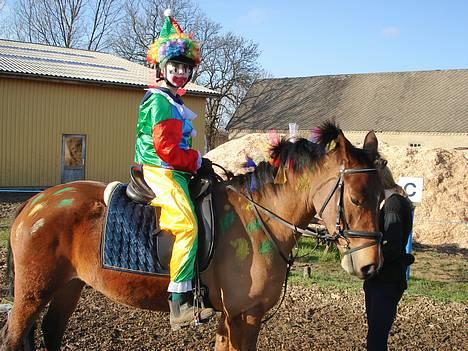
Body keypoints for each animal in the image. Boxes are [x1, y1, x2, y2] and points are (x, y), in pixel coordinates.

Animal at [0, 122, 384, 350]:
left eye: (383, 197)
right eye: (356, 199)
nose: (370, 266)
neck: (260, 216)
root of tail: (35, 203)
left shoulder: (233, 317)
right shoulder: (244, 315)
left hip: (69, 285)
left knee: (51, 331)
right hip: (33, 292)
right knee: (14, 336)